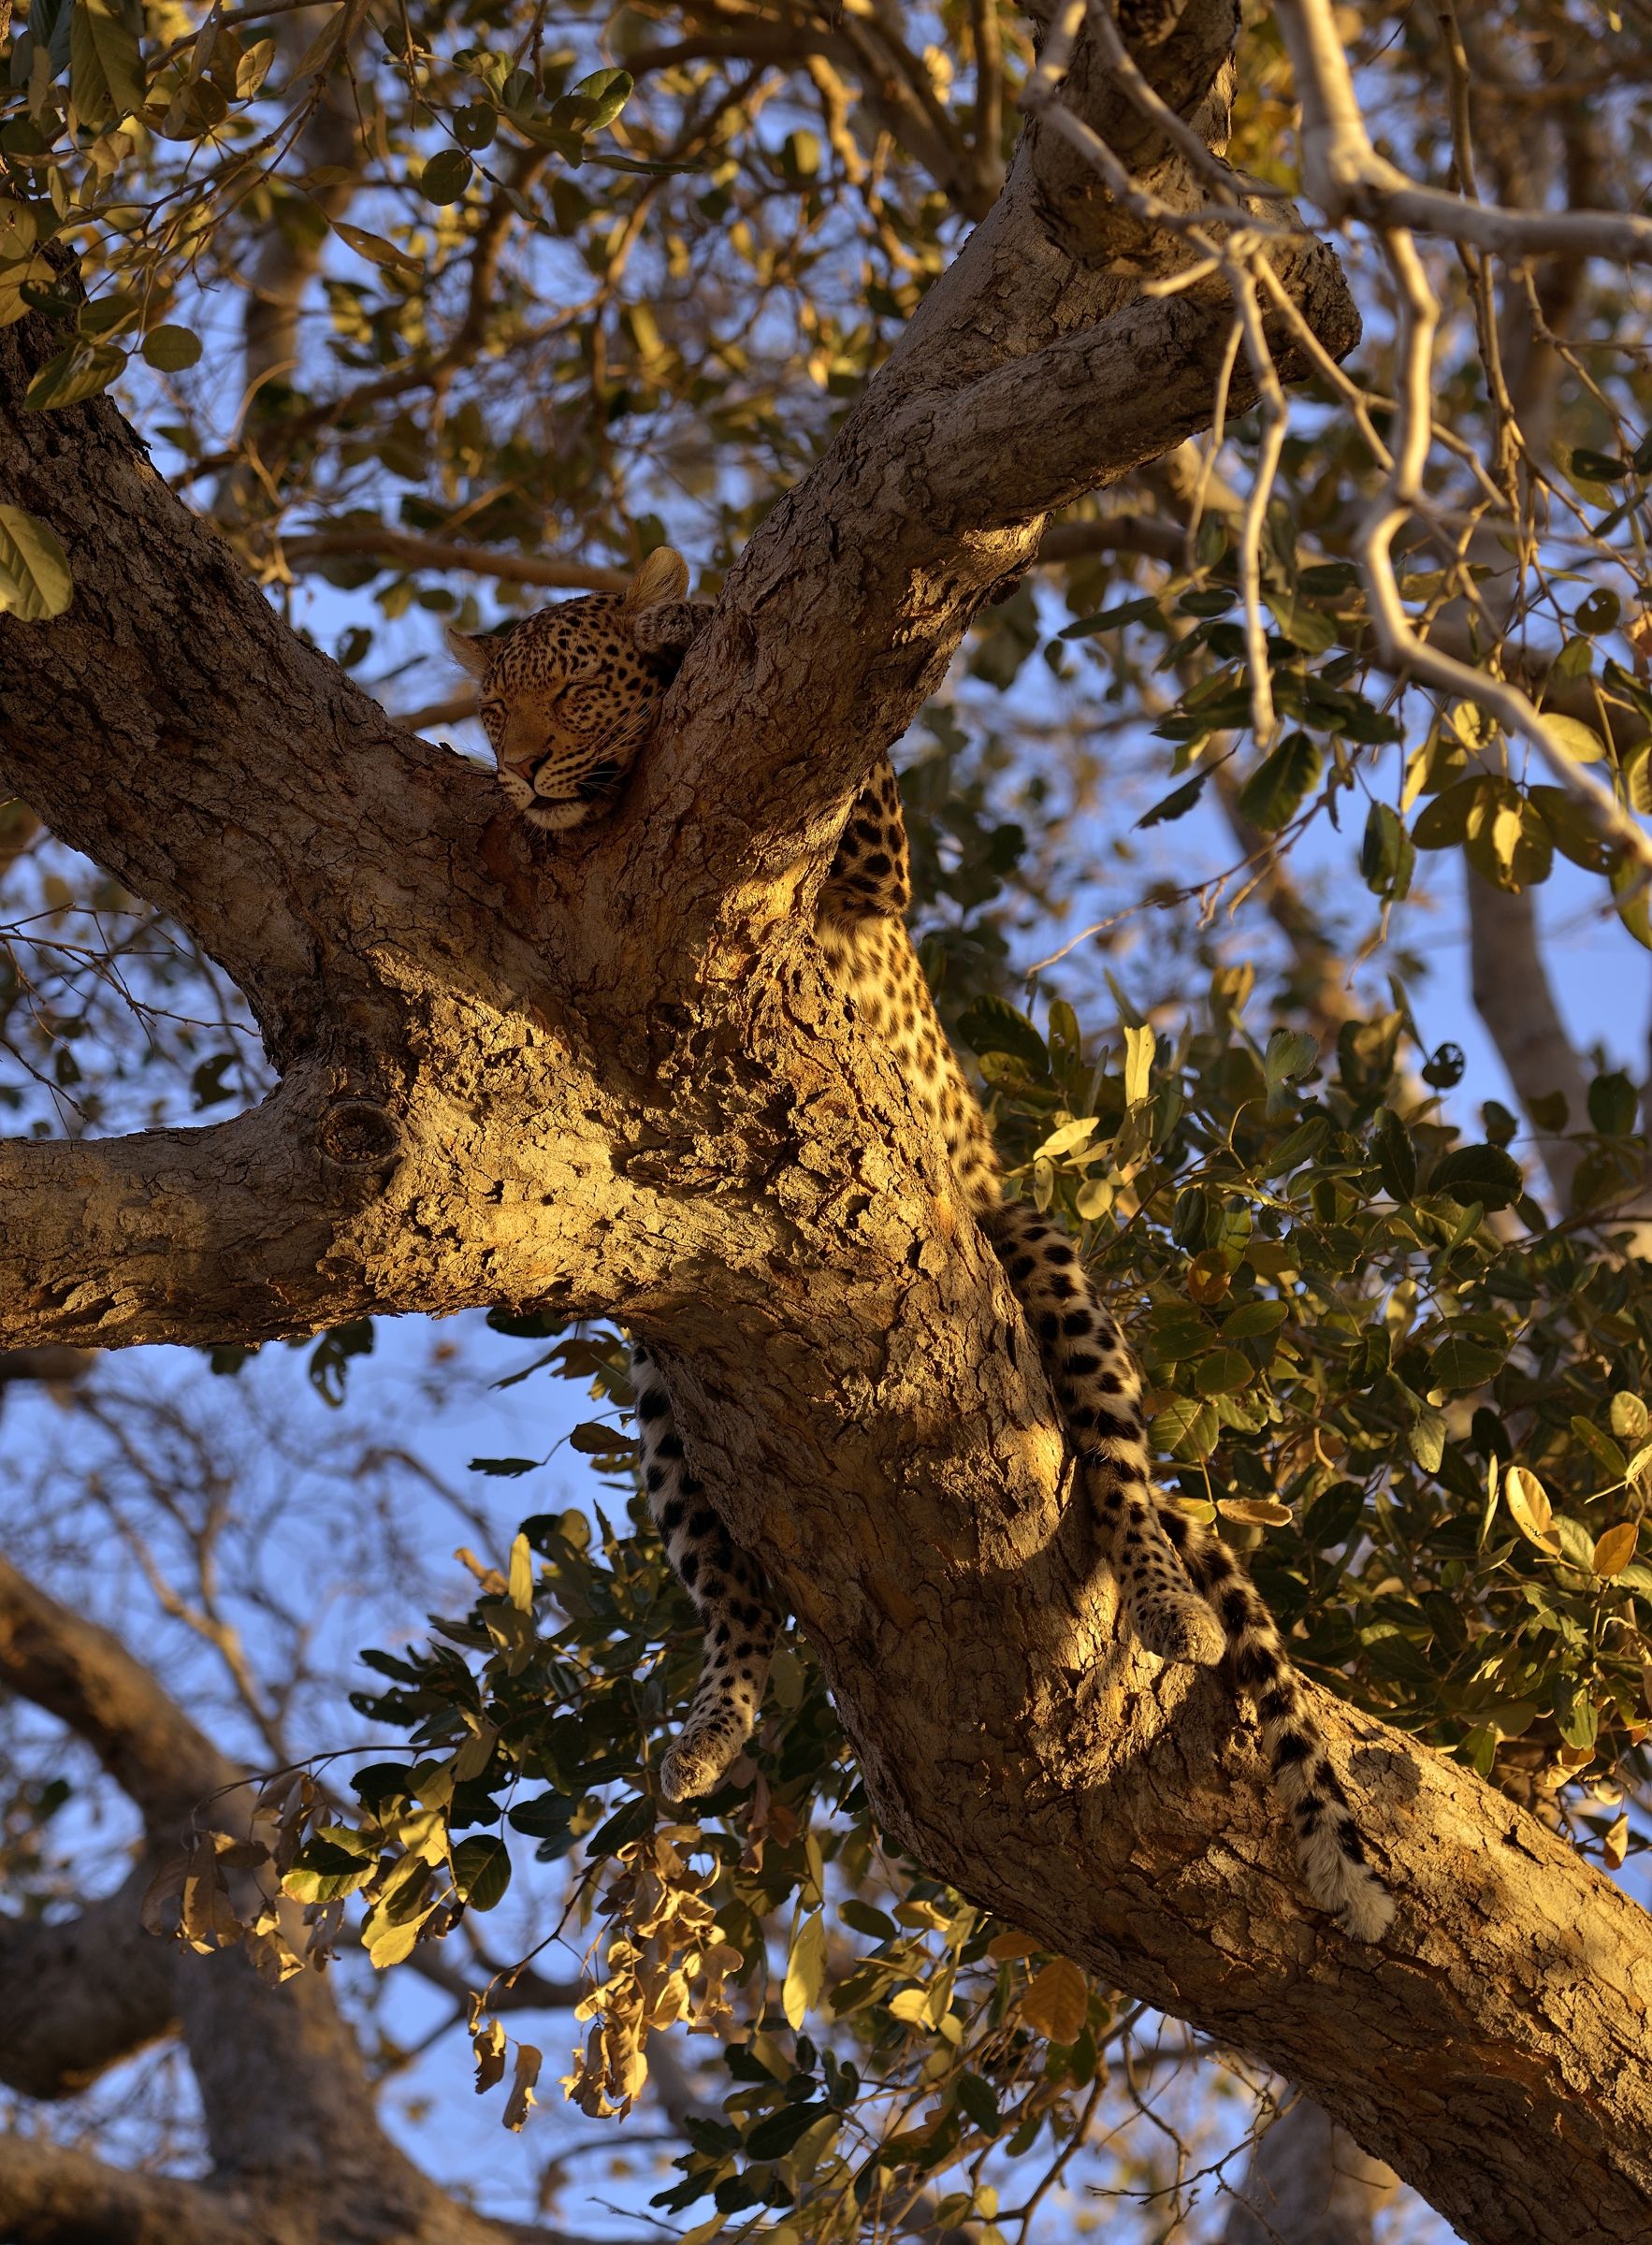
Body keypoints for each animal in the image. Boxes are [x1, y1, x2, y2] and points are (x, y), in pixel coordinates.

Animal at [447, 553, 1395, 1944]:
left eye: (570, 693)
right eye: (488, 713)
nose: (519, 771)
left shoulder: (870, 874)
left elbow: (857, 774)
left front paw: (685, 618)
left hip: (1028, 1240)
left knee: (1120, 1476)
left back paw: (1165, 1598)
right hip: (668, 1395)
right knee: (733, 1597)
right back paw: (709, 1726)